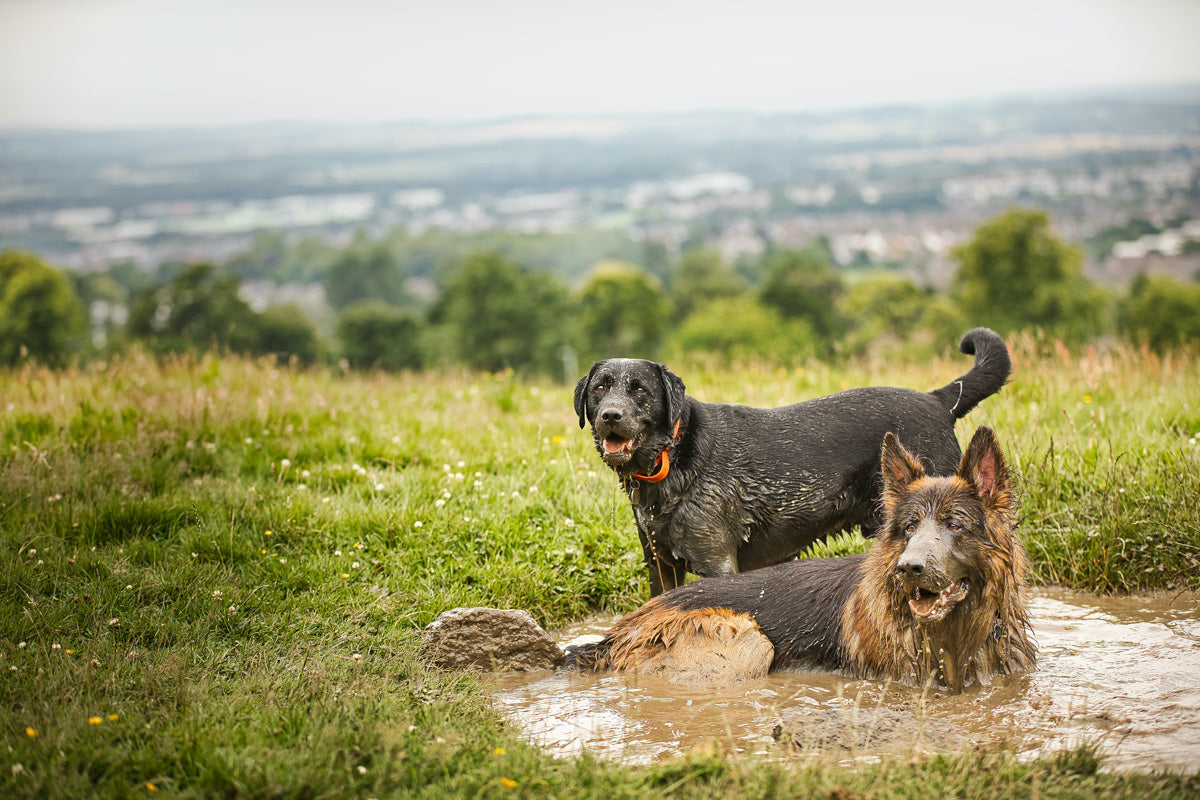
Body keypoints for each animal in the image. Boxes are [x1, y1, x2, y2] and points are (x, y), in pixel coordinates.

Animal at [566, 424, 1036, 695]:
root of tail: (615, 633)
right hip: (747, 639)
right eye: (907, 528)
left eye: (955, 524)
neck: (955, 636)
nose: (909, 568)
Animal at [571, 328, 1012, 597]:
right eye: (600, 388)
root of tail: (939, 400)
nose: (610, 415)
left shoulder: (718, 564)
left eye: (640, 390)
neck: (673, 458)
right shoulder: (660, 566)